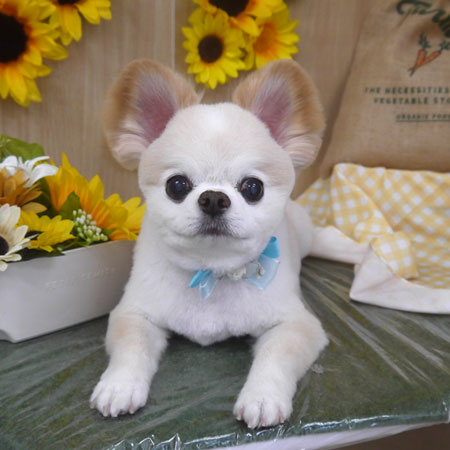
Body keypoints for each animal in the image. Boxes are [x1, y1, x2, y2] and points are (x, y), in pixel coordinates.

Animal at [90, 58, 328, 429]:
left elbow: (277, 355)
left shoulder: (297, 324)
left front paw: (263, 396)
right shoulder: (134, 313)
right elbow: (132, 346)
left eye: (253, 188)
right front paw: (119, 386)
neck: (211, 272)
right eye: (177, 185)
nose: (214, 198)